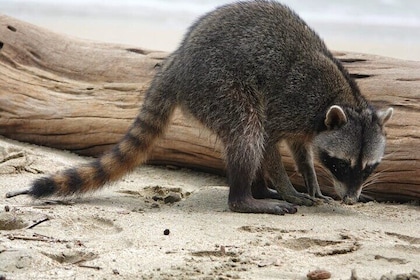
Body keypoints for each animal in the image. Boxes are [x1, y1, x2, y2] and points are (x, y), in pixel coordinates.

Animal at [5, 0, 394, 214]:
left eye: (368, 168)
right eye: (342, 165)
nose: (351, 200)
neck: (345, 99)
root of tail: (177, 61)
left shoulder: (309, 123)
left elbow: (301, 150)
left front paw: (311, 180)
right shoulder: (293, 100)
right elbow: (269, 141)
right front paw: (289, 186)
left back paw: (257, 189)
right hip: (217, 86)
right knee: (248, 132)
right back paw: (246, 197)